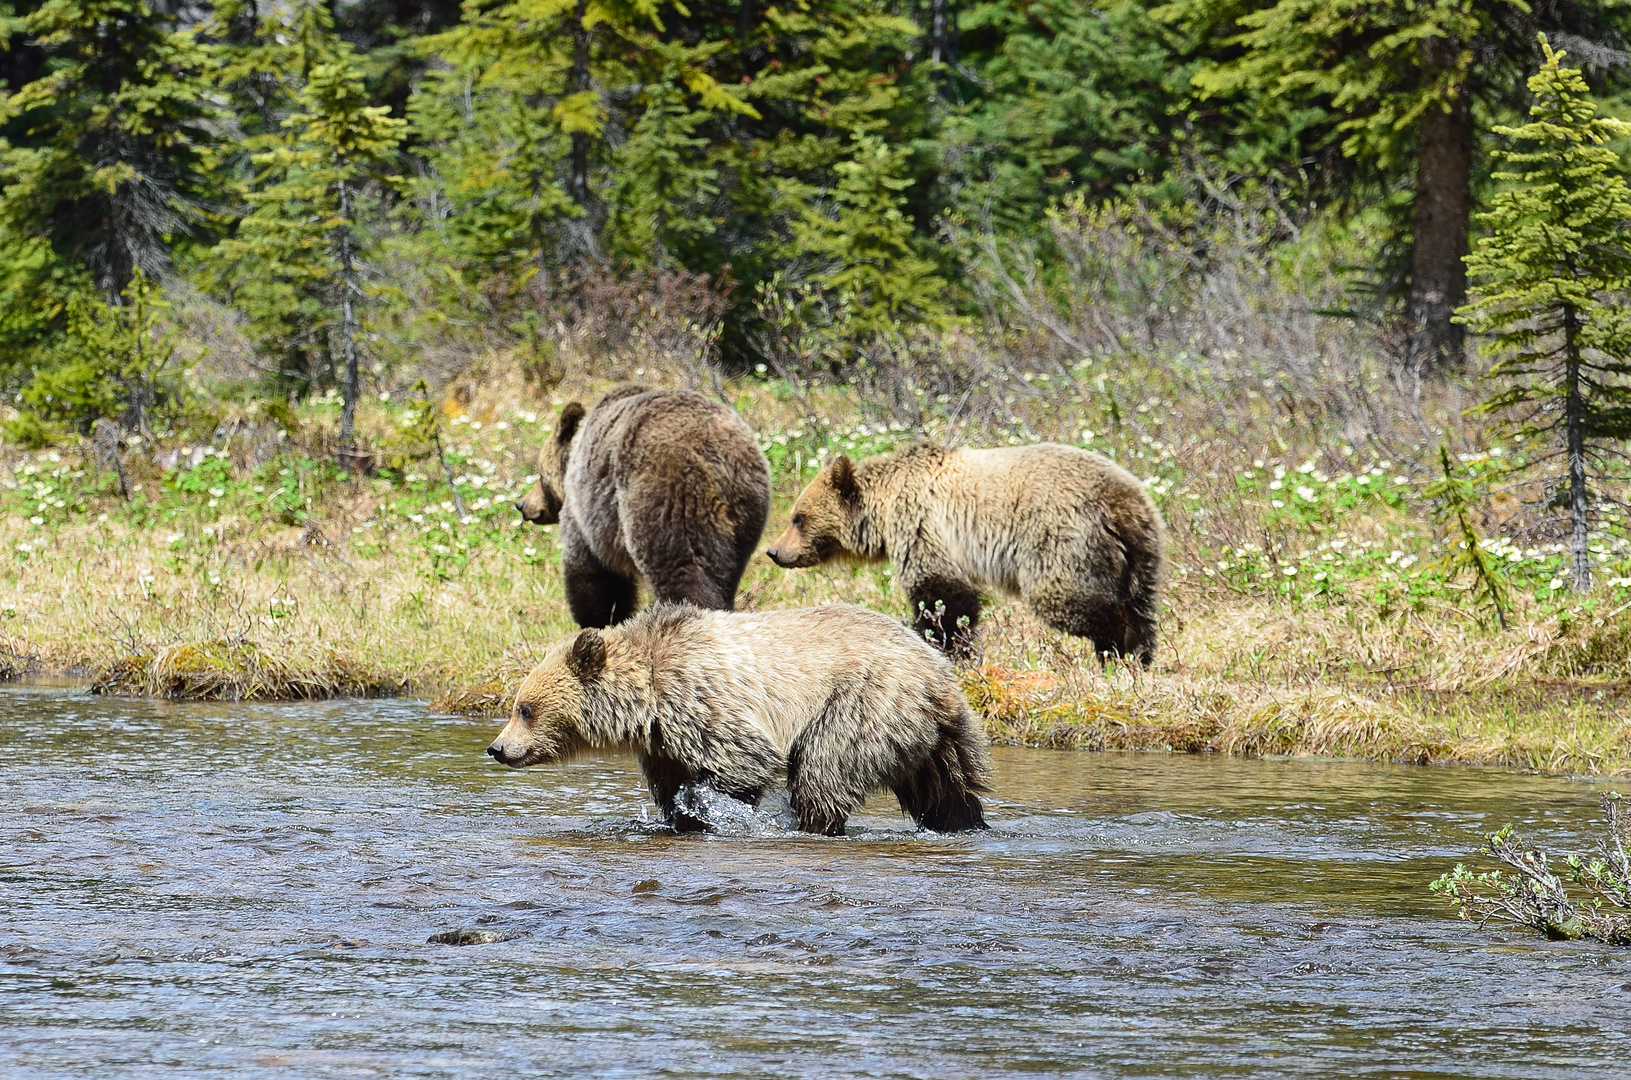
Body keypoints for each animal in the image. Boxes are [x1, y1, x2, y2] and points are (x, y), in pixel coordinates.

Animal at [521, 386, 776, 626]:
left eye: (540, 475)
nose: (522, 504)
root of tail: (714, 453)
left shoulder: (586, 509)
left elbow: (591, 571)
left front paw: (599, 620)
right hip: (746, 512)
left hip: (666, 497)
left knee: (681, 572)